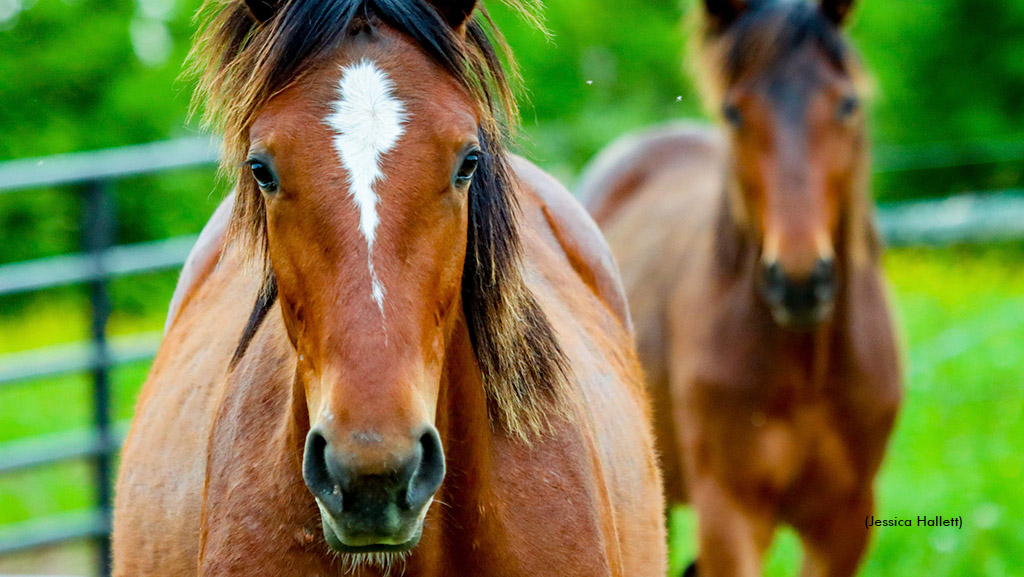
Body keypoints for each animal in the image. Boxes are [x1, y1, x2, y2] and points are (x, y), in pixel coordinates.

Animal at [581, 1, 901, 577]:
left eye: (847, 103)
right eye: (734, 112)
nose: (800, 281)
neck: (808, 365)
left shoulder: (845, 522)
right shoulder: (731, 512)